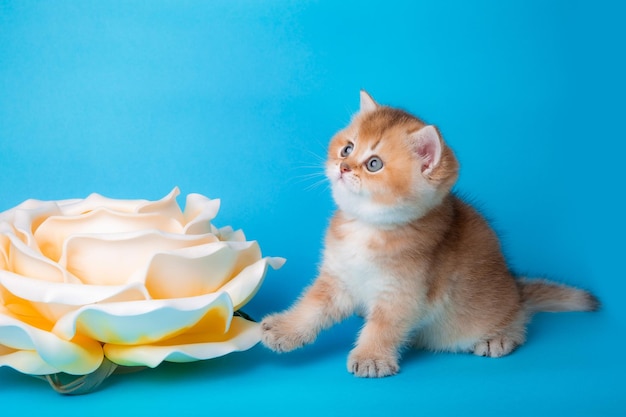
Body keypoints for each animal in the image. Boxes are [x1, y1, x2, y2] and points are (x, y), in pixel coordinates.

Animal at [260, 91, 600, 376]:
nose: (343, 167)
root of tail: (514, 286)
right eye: (347, 148)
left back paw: (500, 337)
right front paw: (285, 329)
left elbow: (382, 327)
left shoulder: (403, 294)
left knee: (520, 317)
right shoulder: (338, 277)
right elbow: (312, 307)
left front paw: (371, 357)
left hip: (496, 307)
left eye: (374, 164)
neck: (368, 227)